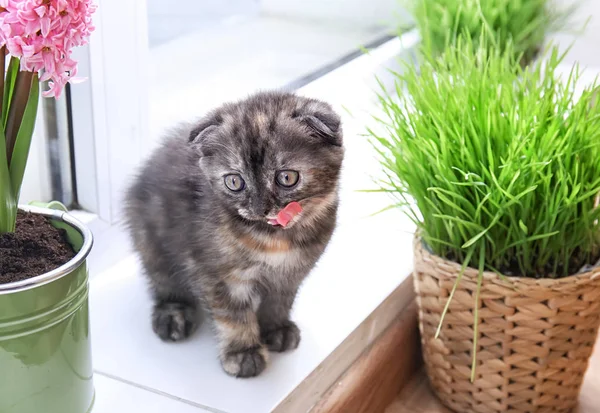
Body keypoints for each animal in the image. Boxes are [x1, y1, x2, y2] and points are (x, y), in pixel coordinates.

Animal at [124, 90, 344, 376]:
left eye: (287, 178)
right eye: (234, 182)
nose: (260, 208)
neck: (274, 240)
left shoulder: (292, 272)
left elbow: (280, 301)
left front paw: (276, 329)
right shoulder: (218, 274)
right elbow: (233, 315)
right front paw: (243, 352)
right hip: (151, 239)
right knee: (163, 281)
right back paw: (173, 315)